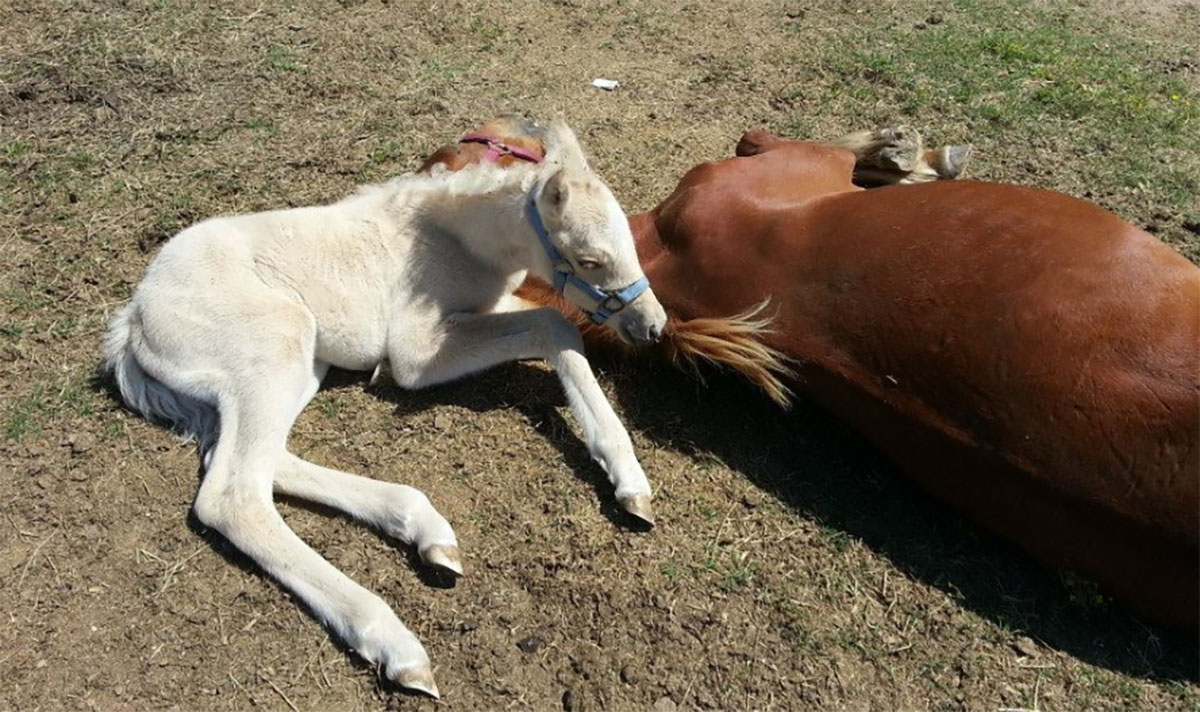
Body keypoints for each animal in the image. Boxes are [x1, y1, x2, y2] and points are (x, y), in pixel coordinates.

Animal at [102, 120, 667, 696]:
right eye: (590, 260)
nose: (652, 326)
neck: (463, 244)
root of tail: (133, 319)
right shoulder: (416, 352)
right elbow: (552, 324)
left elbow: (561, 329)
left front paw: (629, 482)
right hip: (275, 344)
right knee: (232, 496)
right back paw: (395, 643)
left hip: (300, 365)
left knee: (263, 460)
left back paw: (424, 530)